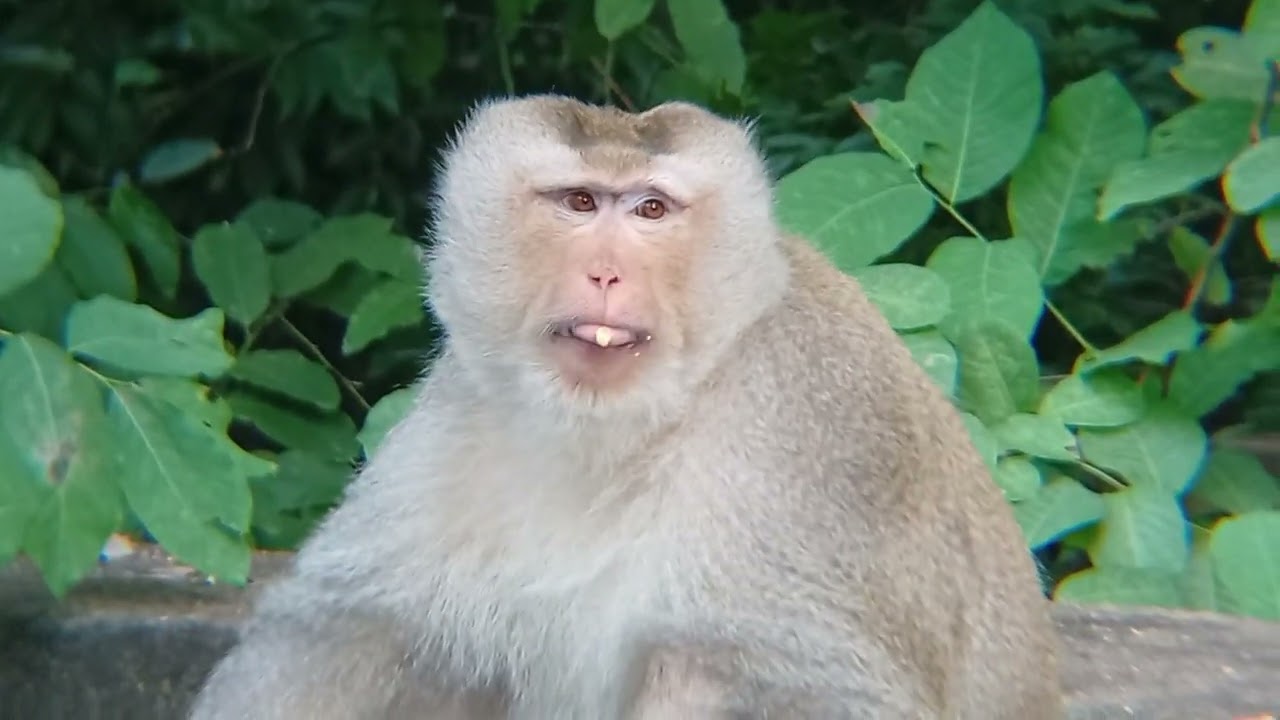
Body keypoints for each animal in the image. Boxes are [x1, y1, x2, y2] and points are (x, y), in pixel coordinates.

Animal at [188, 94, 1062, 720]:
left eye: (649, 211)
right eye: (579, 203)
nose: (606, 271)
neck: (626, 429)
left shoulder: (798, 444)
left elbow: (823, 690)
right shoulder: (462, 408)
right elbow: (351, 629)